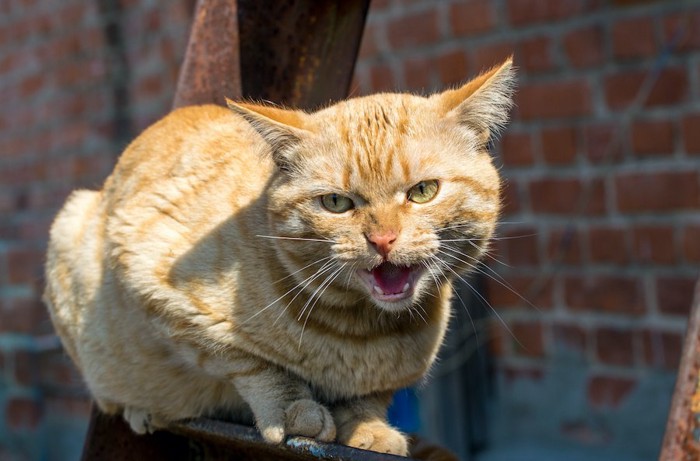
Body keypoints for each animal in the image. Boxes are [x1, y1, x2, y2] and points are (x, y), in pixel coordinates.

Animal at [43, 57, 516, 452]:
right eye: (336, 203)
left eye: (423, 192)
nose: (383, 239)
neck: (363, 333)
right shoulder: (155, 285)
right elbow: (254, 364)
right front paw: (295, 412)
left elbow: (369, 399)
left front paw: (368, 429)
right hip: (71, 231)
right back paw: (143, 408)